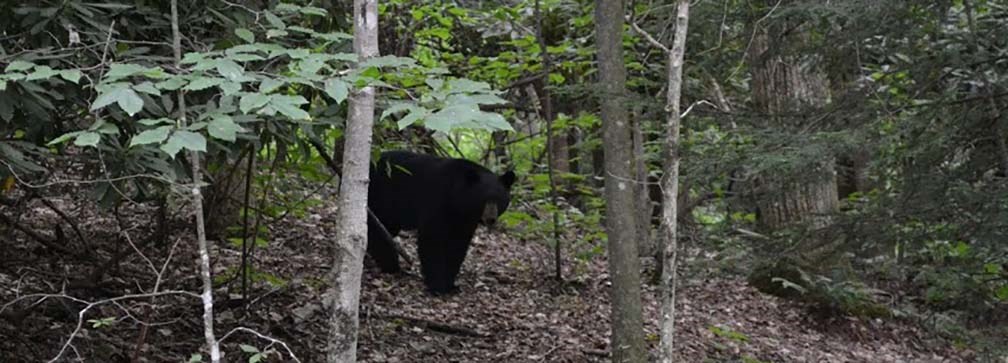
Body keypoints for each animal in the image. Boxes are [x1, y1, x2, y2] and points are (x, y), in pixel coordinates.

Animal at [366, 150, 516, 294]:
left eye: (499, 200)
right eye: (483, 200)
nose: (491, 219)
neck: (457, 197)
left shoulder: (465, 219)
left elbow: (458, 245)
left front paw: (451, 285)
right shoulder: (437, 200)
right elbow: (433, 240)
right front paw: (438, 285)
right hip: (380, 196)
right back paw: (390, 263)